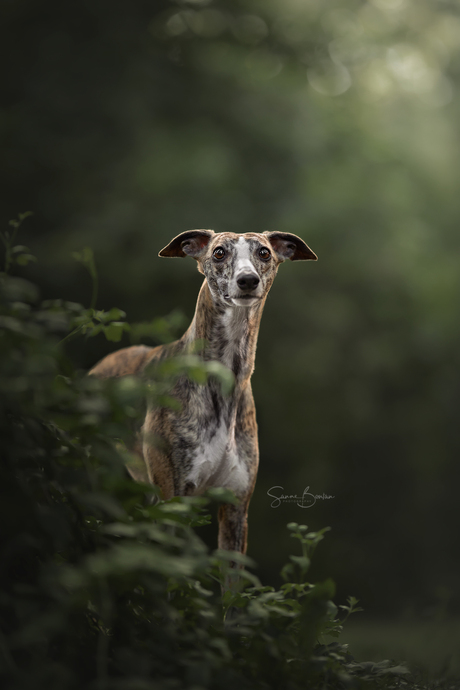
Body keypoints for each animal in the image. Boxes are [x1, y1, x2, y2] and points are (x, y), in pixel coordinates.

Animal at [91, 231, 318, 560]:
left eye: (264, 252)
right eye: (219, 252)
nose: (247, 280)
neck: (224, 378)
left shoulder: (236, 507)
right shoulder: (171, 498)